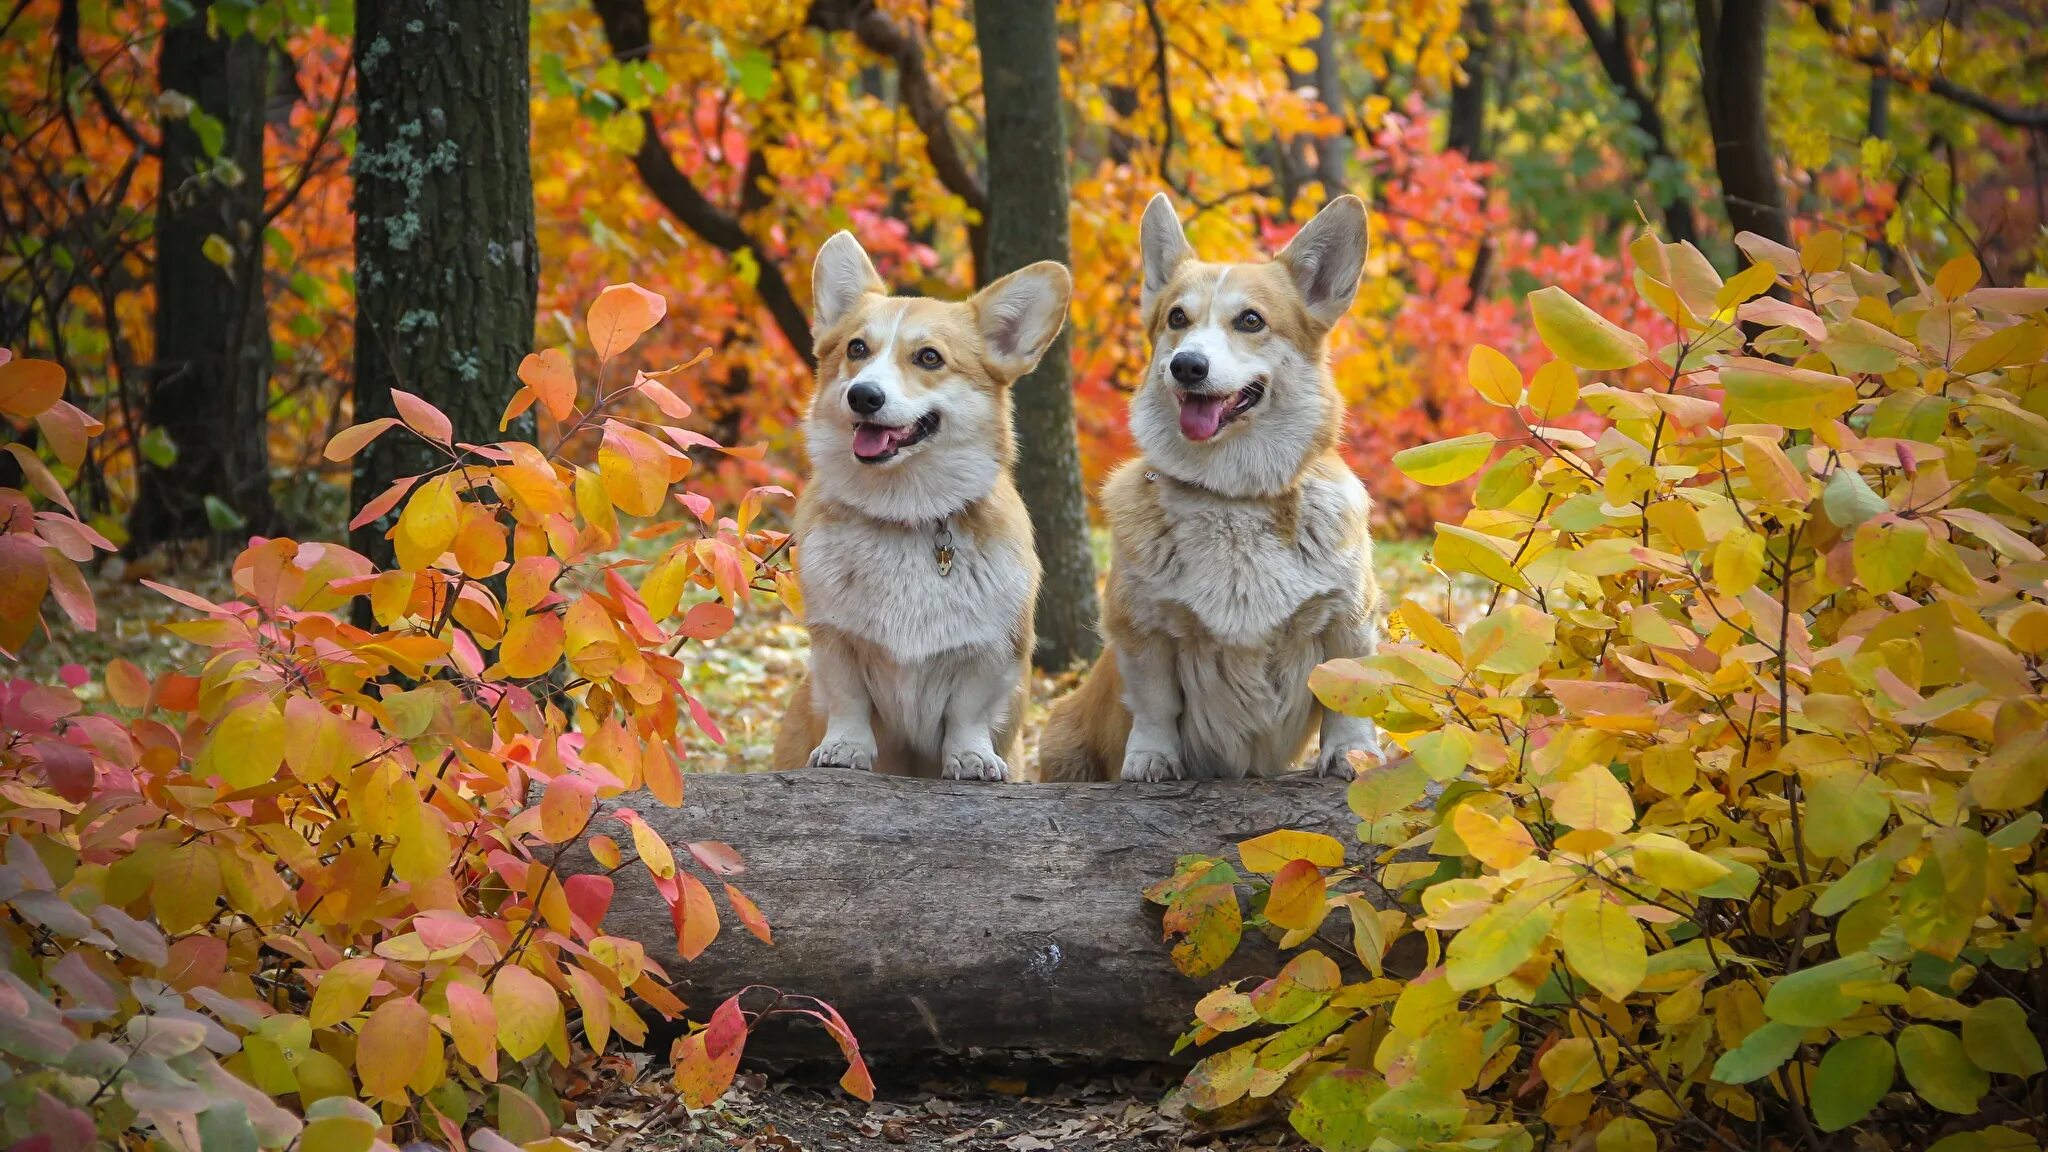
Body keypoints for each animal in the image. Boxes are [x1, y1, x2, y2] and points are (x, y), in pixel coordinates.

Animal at [770, 228, 1073, 774]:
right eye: (857, 348)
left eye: (929, 357)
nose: (863, 395)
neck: (905, 513)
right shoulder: (835, 640)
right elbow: (848, 699)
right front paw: (844, 749)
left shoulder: (990, 653)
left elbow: (969, 714)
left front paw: (971, 759)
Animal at [1040, 192, 1392, 778]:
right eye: (1177, 318)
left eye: (1250, 320)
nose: (1187, 366)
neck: (1233, 497)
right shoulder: (1142, 629)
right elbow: (1155, 704)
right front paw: (1151, 761)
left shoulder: (1348, 615)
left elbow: (1347, 695)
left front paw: (1352, 754)